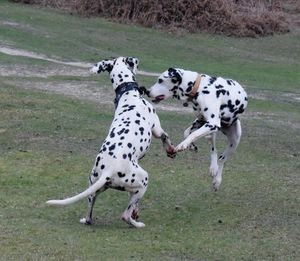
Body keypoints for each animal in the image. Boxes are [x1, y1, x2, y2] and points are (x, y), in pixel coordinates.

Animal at [45, 57, 175, 228]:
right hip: (144, 180)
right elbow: (165, 136)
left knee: (91, 215)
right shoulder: (157, 130)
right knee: (125, 215)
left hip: (93, 188)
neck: (128, 94)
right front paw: (171, 150)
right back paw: (136, 223)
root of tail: (108, 171)